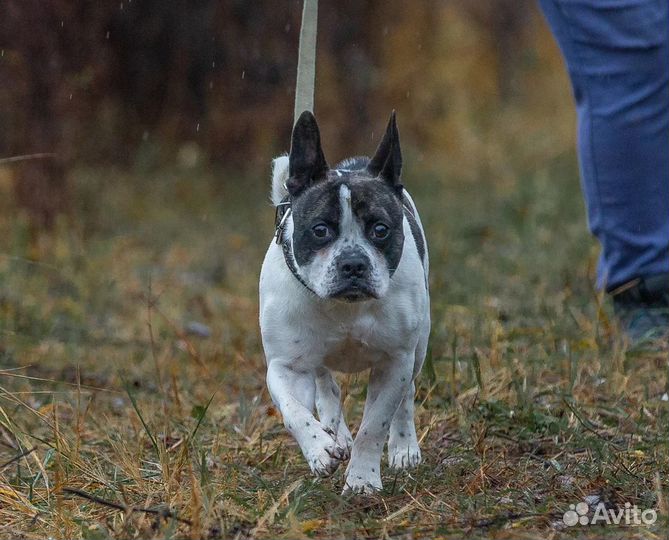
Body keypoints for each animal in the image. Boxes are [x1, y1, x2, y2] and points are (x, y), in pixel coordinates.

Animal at [258, 110, 430, 494]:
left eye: (380, 230)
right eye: (320, 230)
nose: (353, 263)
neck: (345, 308)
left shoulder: (395, 361)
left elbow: (374, 425)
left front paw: (363, 479)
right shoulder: (287, 366)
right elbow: (294, 412)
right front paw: (320, 448)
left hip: (419, 345)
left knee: (407, 395)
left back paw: (404, 447)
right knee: (326, 385)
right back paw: (335, 435)